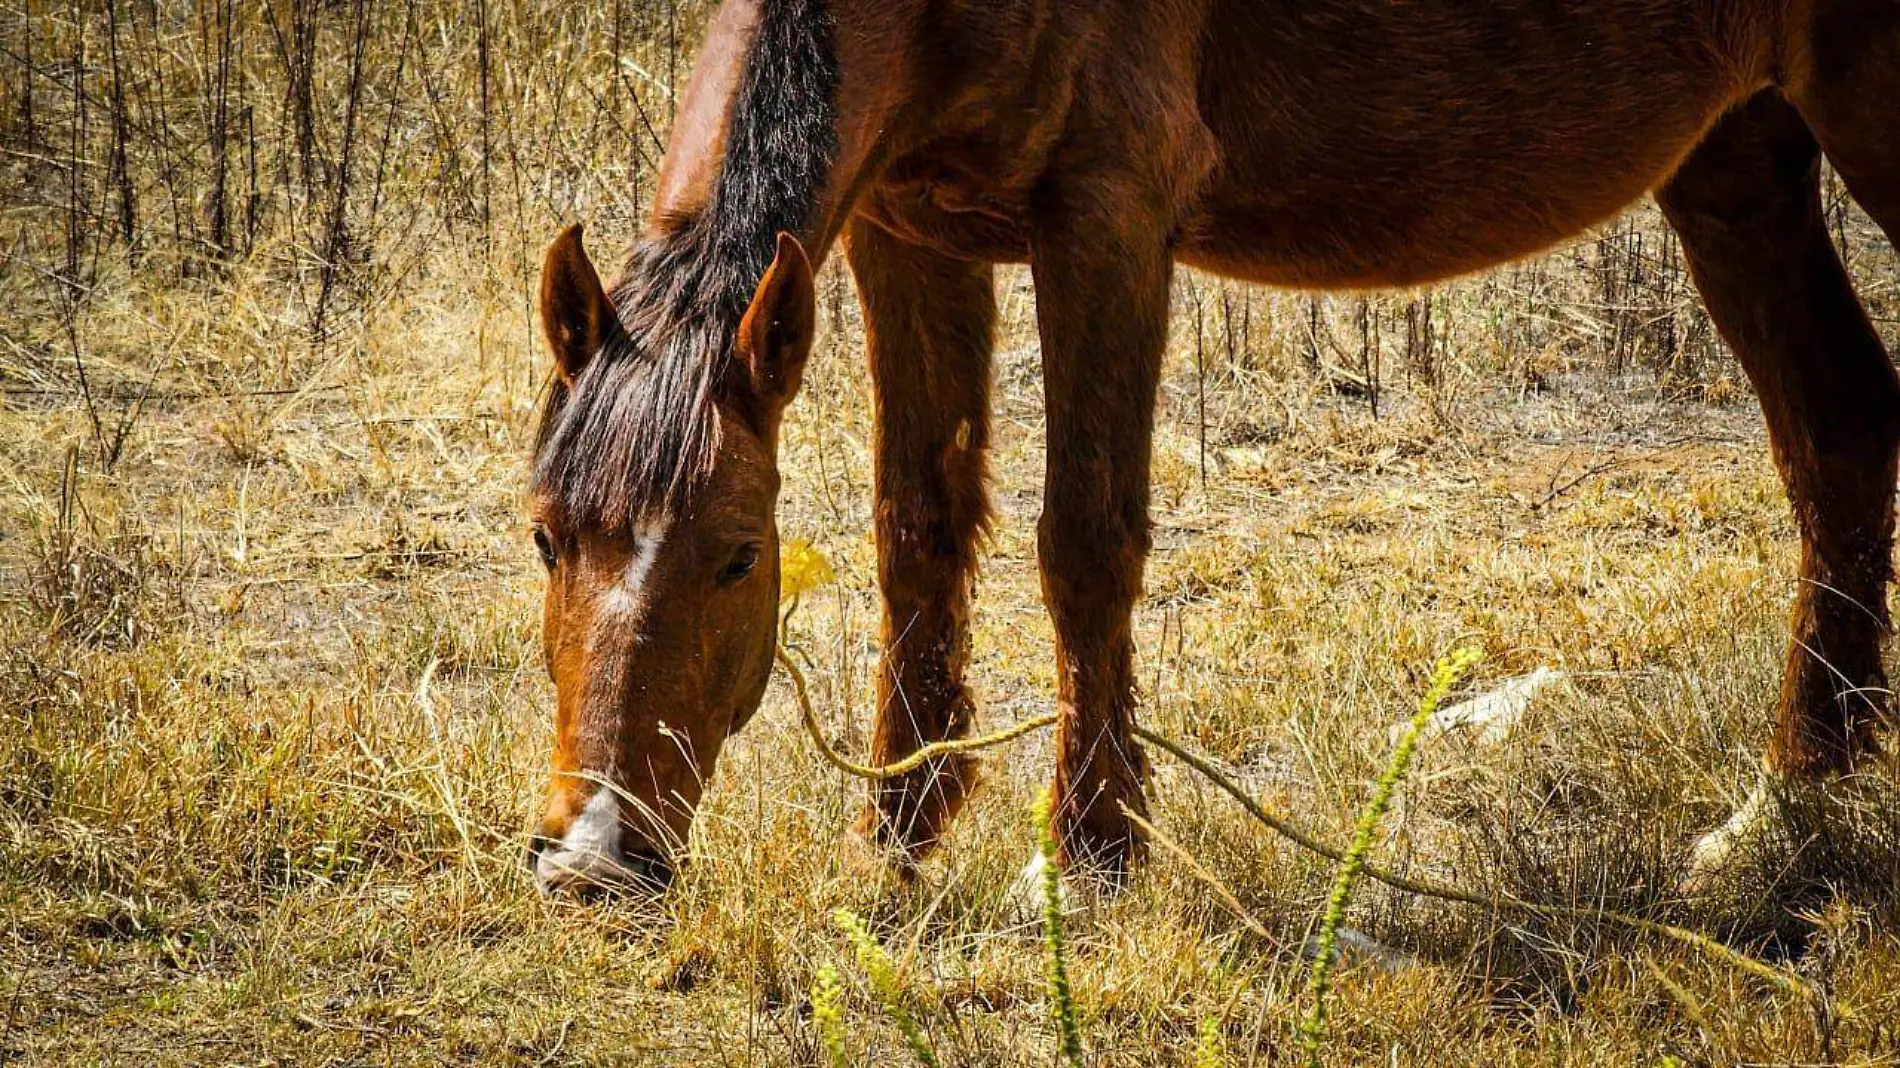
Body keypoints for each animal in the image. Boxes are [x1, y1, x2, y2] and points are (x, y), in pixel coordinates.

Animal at [520, 0, 1900, 893]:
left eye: (737, 557)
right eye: (543, 538)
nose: (590, 862)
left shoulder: (1106, 213)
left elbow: (1083, 545)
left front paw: (1090, 855)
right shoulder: (904, 234)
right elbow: (916, 530)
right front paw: (898, 833)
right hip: (1735, 150)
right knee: (1836, 425)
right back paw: (1786, 810)